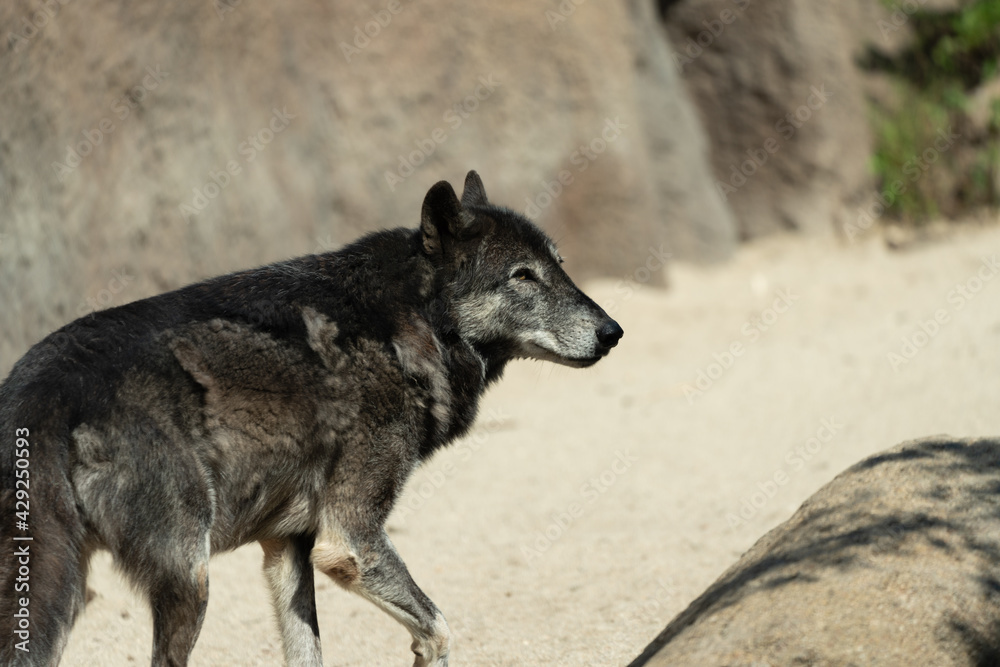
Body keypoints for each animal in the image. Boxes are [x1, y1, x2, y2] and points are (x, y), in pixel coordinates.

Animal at [0, 171, 623, 666]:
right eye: (522, 276)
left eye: (558, 267)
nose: (613, 332)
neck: (407, 327)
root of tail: (41, 386)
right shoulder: (349, 542)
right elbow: (441, 631)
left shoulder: (287, 547)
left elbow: (309, 651)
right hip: (187, 583)